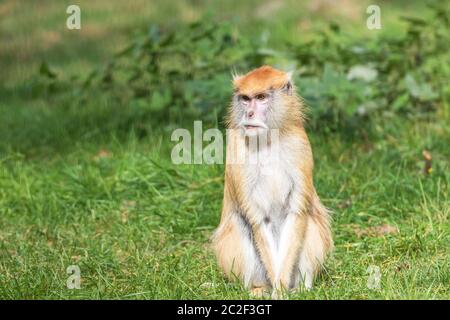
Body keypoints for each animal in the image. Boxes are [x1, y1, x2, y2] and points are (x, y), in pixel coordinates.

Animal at [212, 65, 334, 298]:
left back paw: (302, 288)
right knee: (239, 223)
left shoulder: (299, 143)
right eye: (245, 99)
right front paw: (278, 290)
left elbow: (296, 213)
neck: (267, 140)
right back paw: (258, 289)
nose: (249, 113)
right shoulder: (236, 147)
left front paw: (282, 289)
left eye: (261, 97)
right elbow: (259, 220)